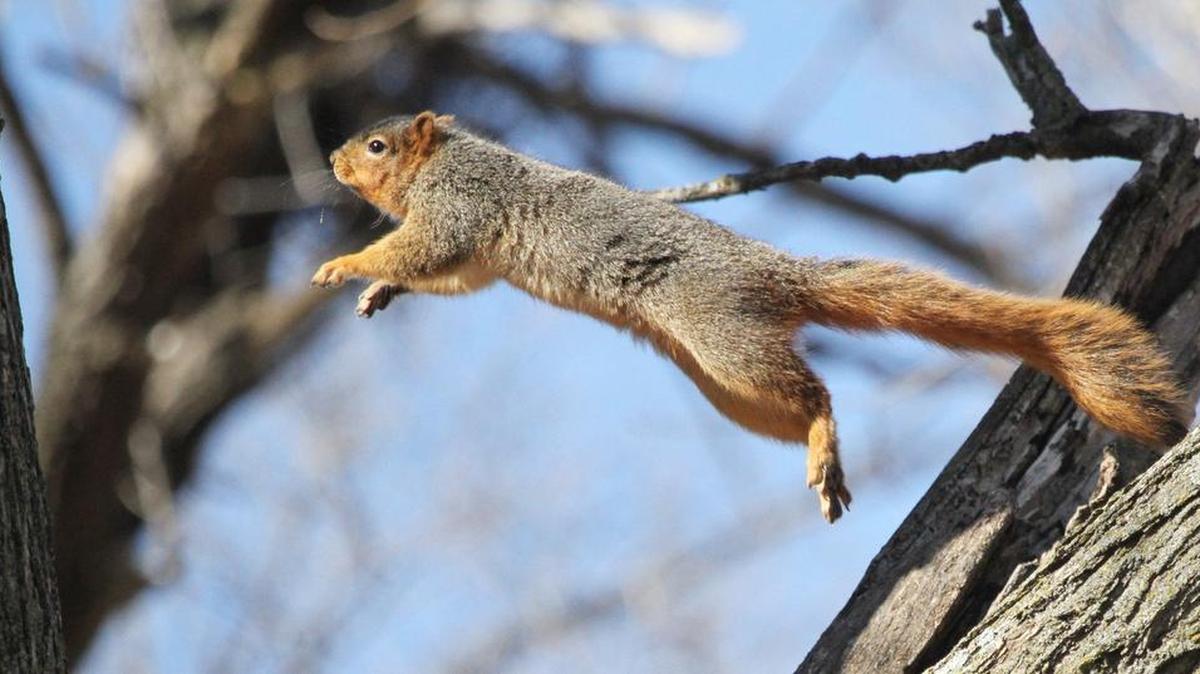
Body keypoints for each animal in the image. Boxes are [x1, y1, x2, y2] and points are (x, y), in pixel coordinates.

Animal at [313, 111, 1193, 523]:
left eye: (380, 146)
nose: (331, 158)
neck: (446, 160)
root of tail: (778, 276)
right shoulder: (475, 254)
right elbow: (449, 278)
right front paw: (376, 292)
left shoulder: (457, 209)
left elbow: (418, 250)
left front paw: (345, 266)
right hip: (725, 386)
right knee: (792, 406)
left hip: (728, 343)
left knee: (818, 395)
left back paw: (826, 447)